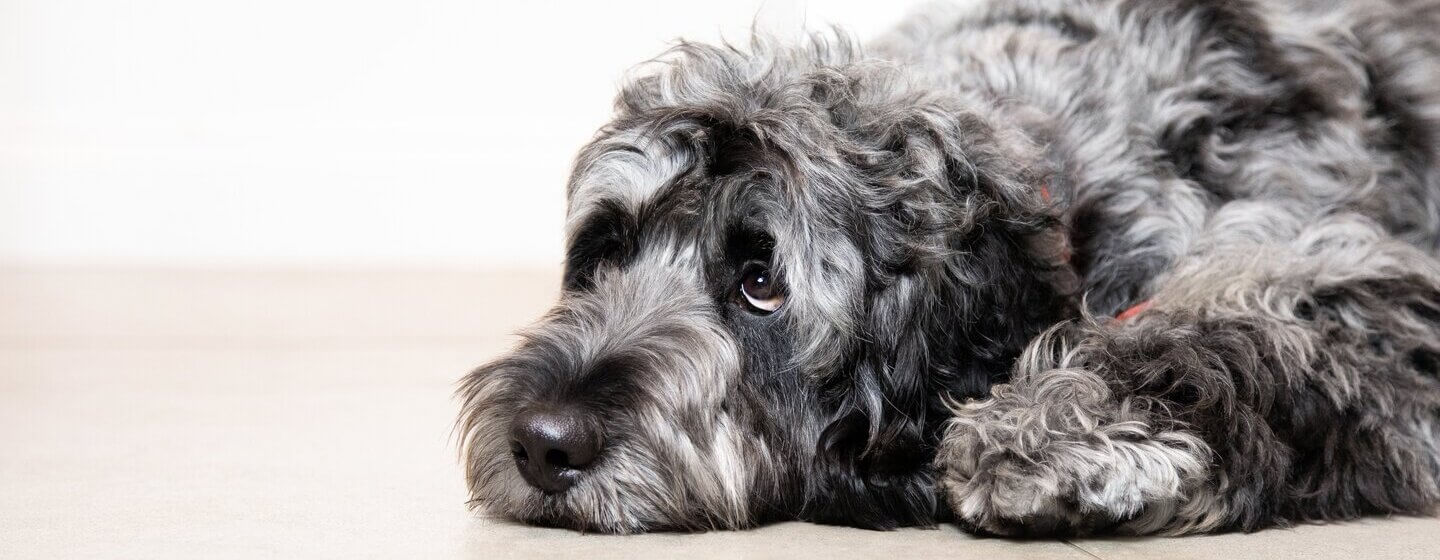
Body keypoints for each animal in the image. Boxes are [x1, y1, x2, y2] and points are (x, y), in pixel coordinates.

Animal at [455, 0, 1440, 535]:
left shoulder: (1368, 289)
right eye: (608, 249)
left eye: (761, 282)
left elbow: (1232, 330)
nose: (540, 441)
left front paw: (1048, 429)